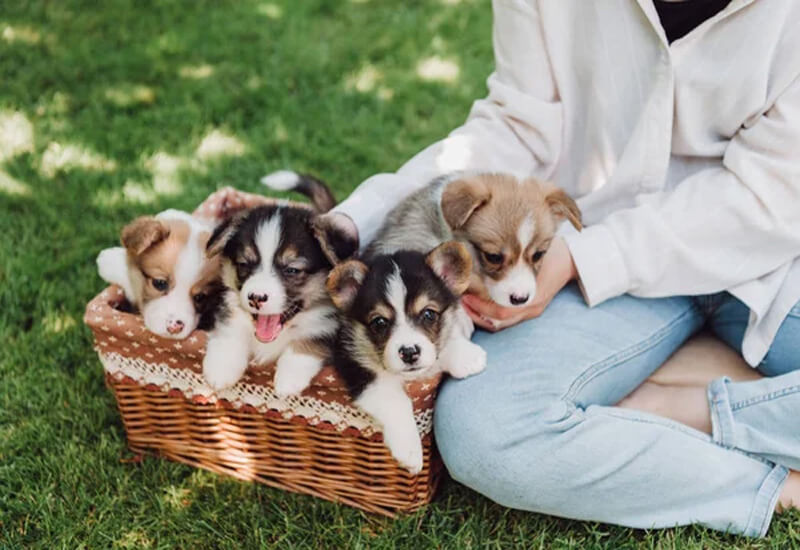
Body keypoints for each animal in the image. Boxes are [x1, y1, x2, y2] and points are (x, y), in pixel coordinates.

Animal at [202, 205, 358, 394]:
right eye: (243, 264)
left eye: (292, 270)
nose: (256, 298)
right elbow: (229, 330)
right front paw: (221, 368)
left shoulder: (328, 326)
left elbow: (311, 338)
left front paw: (288, 380)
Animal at [324, 242, 476, 474]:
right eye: (379, 322)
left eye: (429, 314)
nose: (410, 352)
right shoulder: (356, 365)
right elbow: (396, 401)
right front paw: (410, 450)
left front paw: (466, 356)